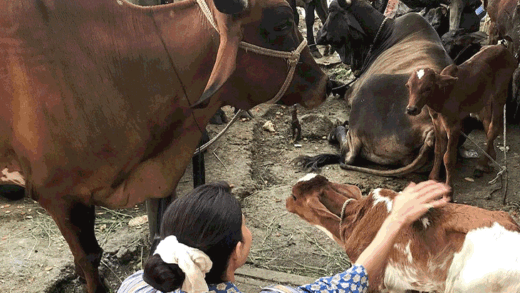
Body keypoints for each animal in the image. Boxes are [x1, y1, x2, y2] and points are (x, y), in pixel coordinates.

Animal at [300, 0, 456, 177]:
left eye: (332, 10)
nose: (319, 33)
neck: (382, 35)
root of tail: (430, 129)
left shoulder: (353, 90)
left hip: (364, 97)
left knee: (349, 154)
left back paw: (336, 132)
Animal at [404, 44, 516, 194]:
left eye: (428, 88)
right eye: (408, 86)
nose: (411, 109)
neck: (442, 96)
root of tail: (501, 46)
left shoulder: (454, 126)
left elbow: (449, 157)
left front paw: (449, 189)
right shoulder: (437, 123)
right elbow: (438, 150)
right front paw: (433, 177)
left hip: (500, 95)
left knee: (494, 128)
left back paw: (481, 164)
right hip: (484, 101)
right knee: (487, 126)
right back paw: (489, 158)